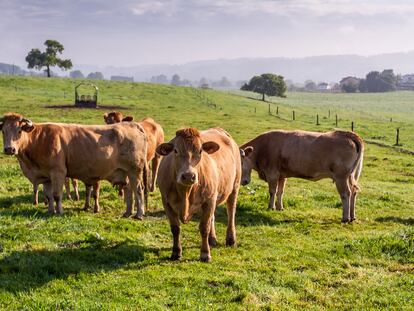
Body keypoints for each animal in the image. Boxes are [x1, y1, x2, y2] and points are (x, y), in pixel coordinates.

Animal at [0, 113, 149, 218]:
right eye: (3, 131)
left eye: (19, 131)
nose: (9, 149)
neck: (39, 139)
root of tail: (133, 125)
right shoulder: (46, 176)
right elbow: (48, 195)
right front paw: (50, 210)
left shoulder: (58, 173)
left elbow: (56, 195)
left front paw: (59, 211)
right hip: (125, 172)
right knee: (129, 190)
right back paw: (128, 212)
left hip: (135, 171)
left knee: (138, 190)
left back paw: (139, 214)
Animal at [155, 127, 241, 264]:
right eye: (175, 151)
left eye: (200, 151)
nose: (189, 176)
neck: (185, 193)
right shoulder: (166, 201)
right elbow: (175, 228)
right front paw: (176, 252)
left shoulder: (208, 200)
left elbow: (204, 227)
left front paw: (205, 254)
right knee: (212, 217)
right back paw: (212, 240)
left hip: (234, 187)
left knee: (231, 212)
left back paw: (230, 239)